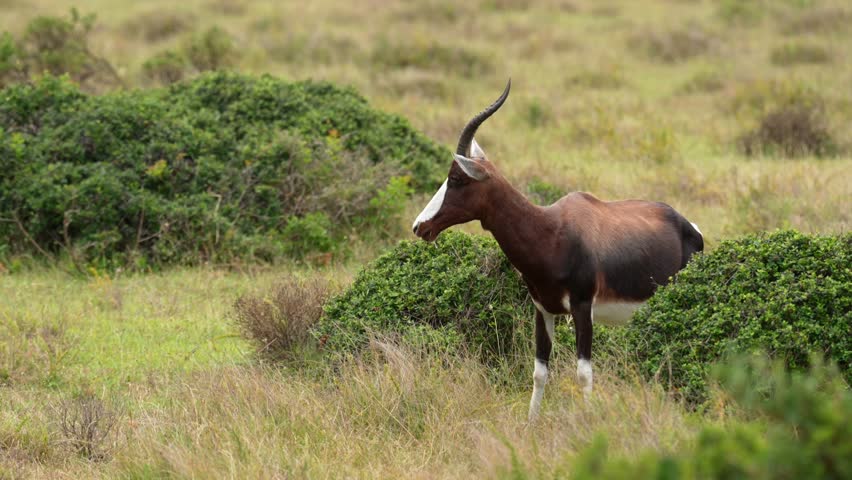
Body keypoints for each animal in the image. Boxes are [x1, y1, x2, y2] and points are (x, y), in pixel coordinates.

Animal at [410, 79, 704, 420]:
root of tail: (688, 226)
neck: (552, 232)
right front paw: (531, 422)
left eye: (456, 177)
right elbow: (540, 372)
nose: (420, 226)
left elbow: (583, 373)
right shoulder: (543, 310)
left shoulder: (582, 308)